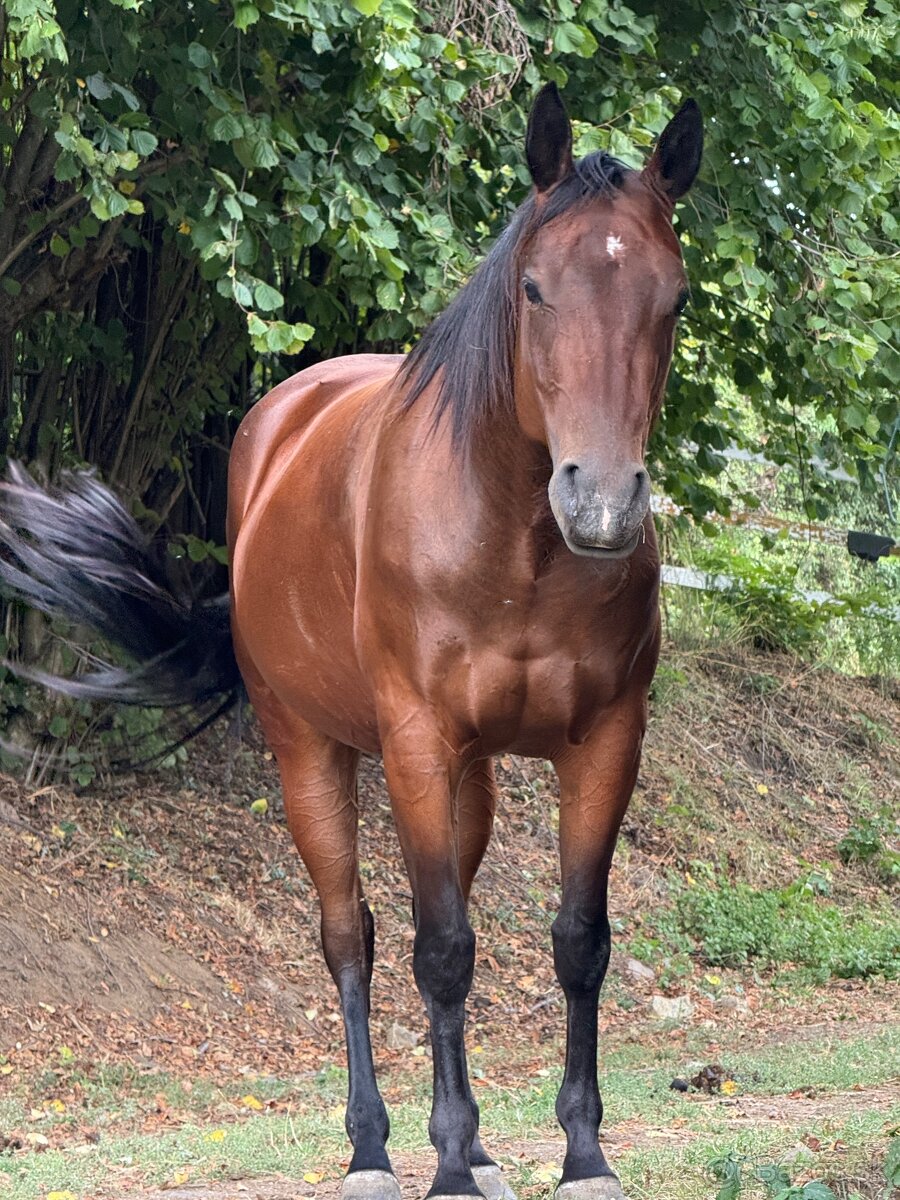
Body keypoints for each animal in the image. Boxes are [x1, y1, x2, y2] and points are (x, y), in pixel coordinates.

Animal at [0, 83, 702, 1200]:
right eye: (536, 290)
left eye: (671, 298)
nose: (601, 501)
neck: (515, 543)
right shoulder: (414, 745)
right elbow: (441, 950)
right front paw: (446, 1164)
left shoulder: (605, 744)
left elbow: (577, 942)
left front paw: (580, 1154)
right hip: (312, 755)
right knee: (352, 937)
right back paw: (374, 1147)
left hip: (470, 780)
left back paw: (475, 1147)